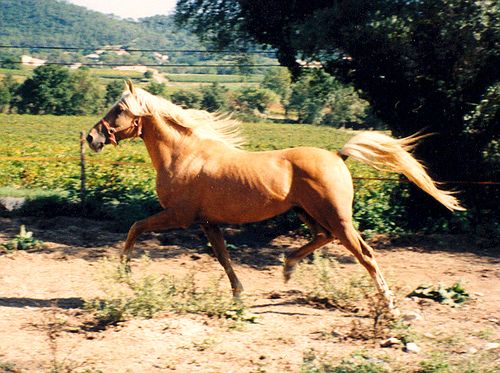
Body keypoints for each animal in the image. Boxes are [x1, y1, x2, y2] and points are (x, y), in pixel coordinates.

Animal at [87, 80, 464, 308]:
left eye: (119, 110)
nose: (93, 138)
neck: (185, 155)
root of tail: (338, 155)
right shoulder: (207, 223)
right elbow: (223, 257)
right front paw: (239, 295)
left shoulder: (179, 217)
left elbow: (135, 227)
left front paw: (124, 272)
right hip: (308, 212)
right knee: (322, 237)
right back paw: (287, 268)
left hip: (338, 217)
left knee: (365, 254)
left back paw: (388, 304)